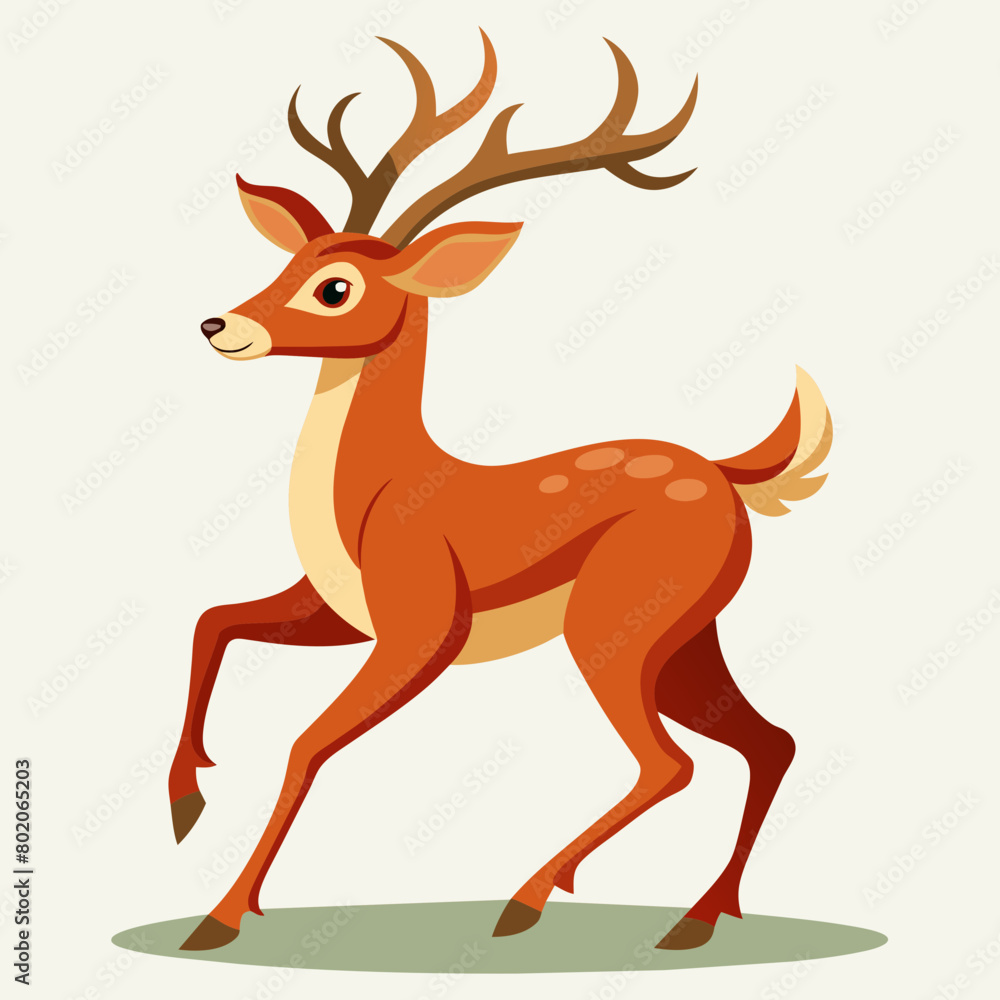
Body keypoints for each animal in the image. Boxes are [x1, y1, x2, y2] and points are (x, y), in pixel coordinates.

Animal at [169, 30, 832, 953]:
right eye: (291, 259)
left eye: (336, 286)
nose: (219, 324)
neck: (376, 493)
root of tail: (728, 473)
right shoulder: (338, 613)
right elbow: (213, 619)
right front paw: (185, 804)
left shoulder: (421, 629)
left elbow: (305, 743)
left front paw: (222, 915)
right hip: (688, 640)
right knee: (771, 742)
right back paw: (697, 919)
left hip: (616, 629)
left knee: (671, 760)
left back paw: (529, 899)